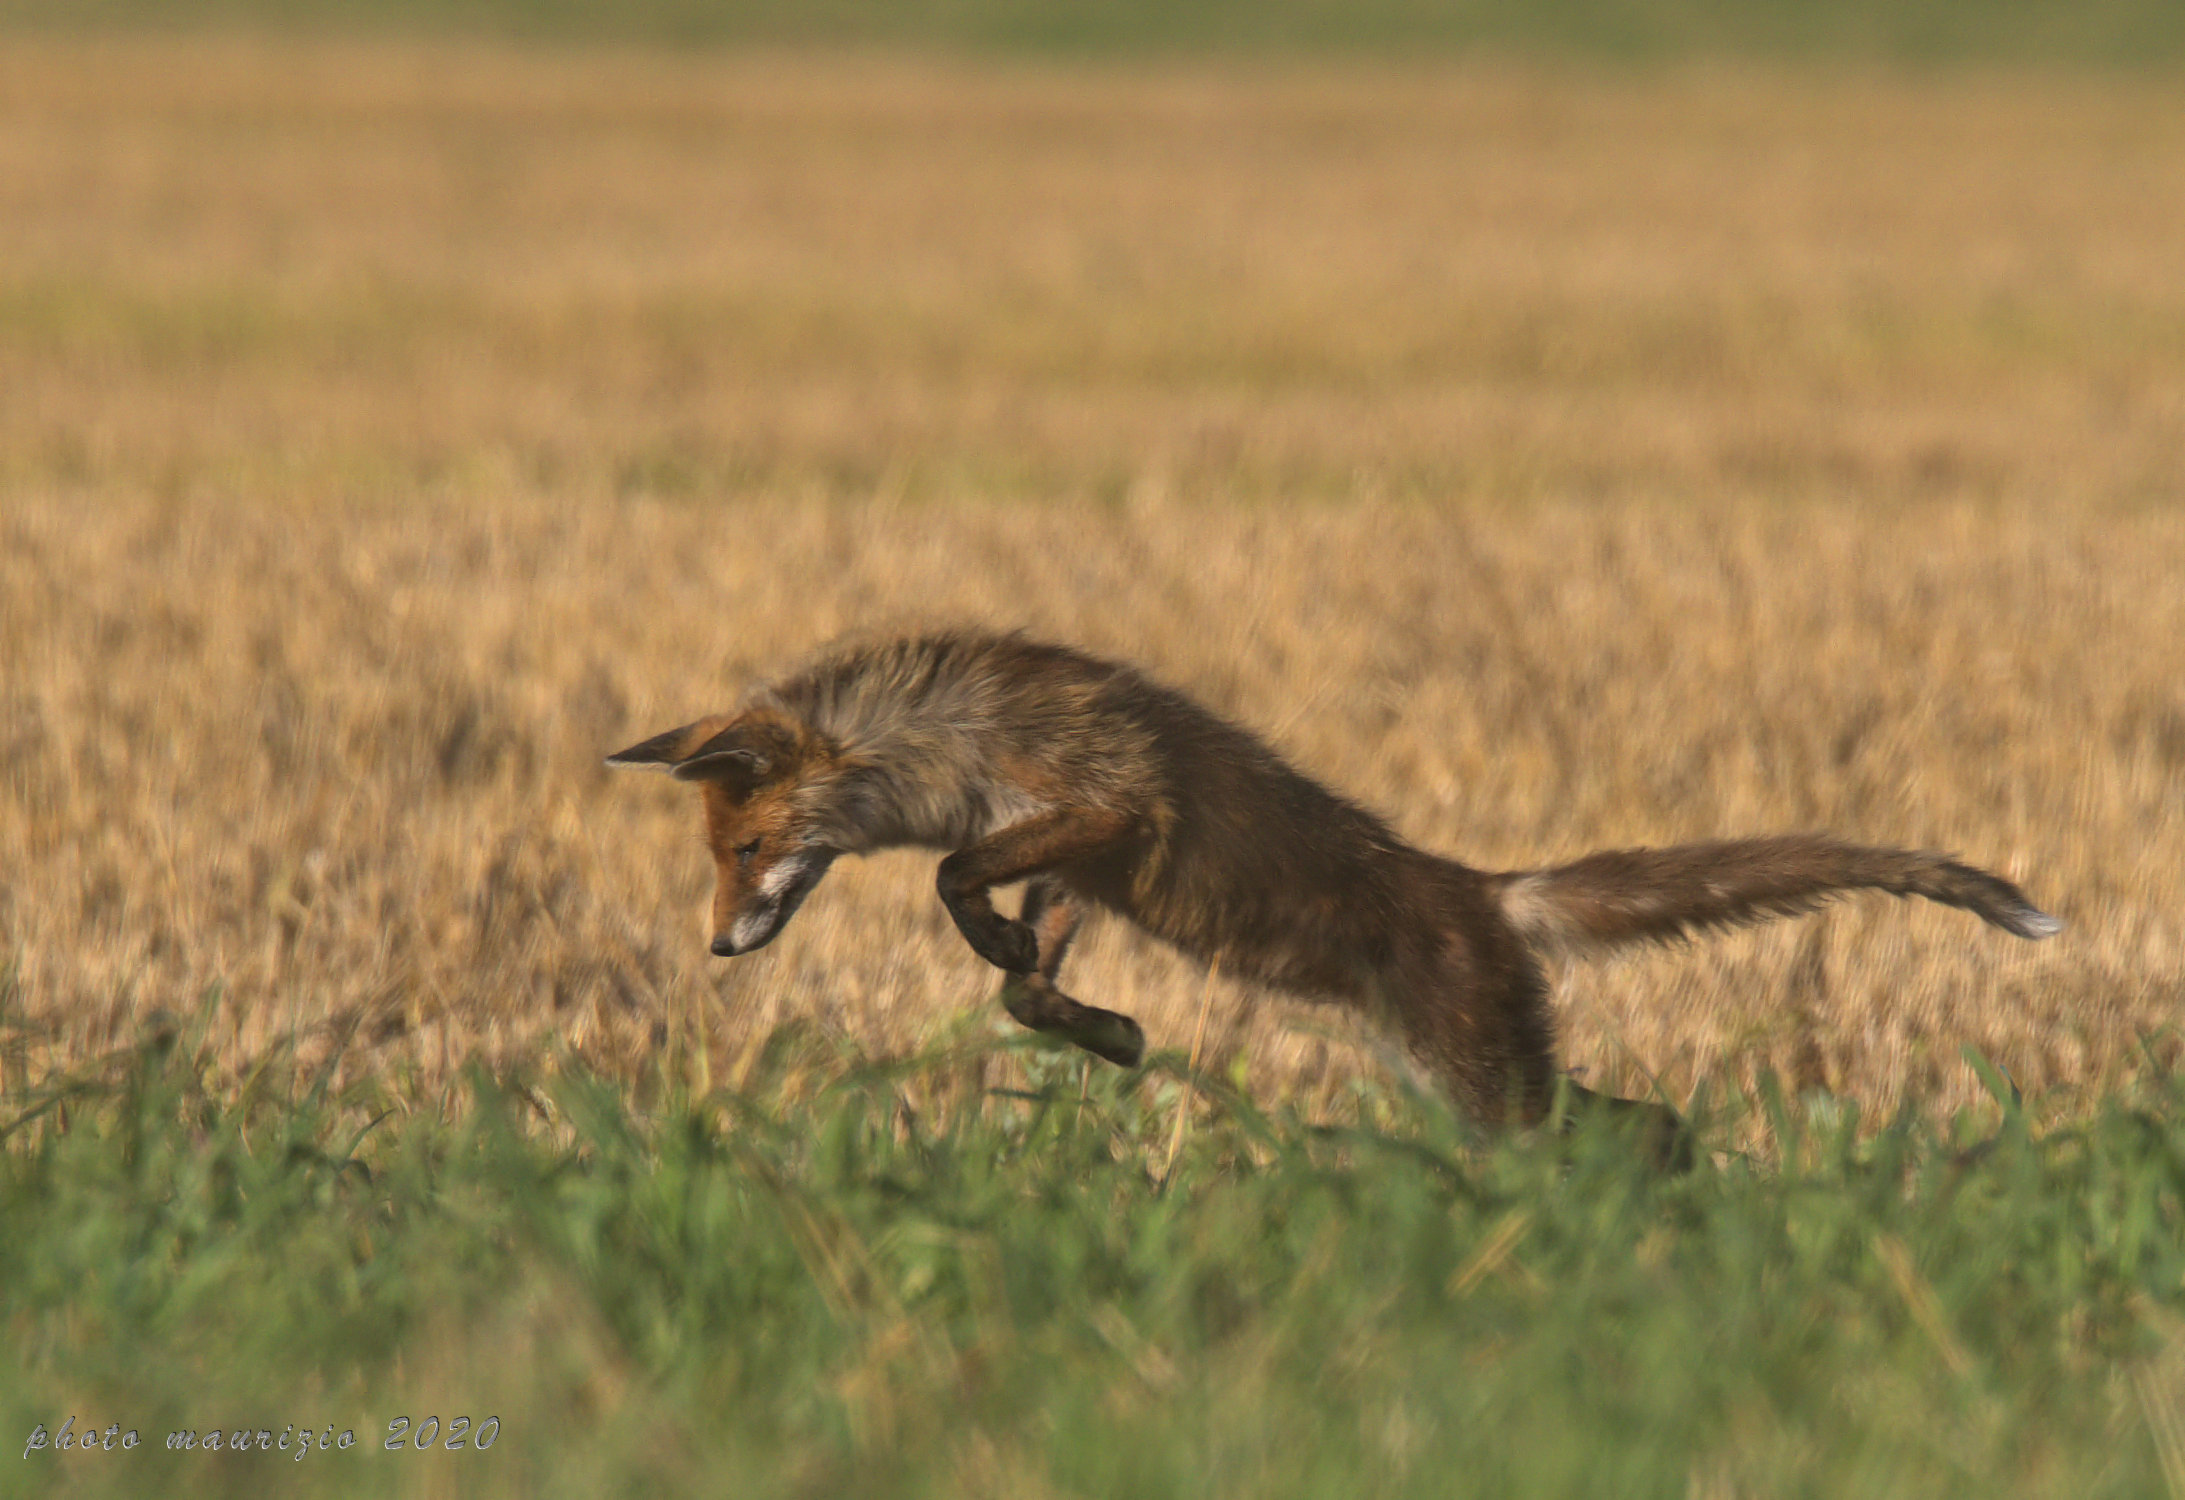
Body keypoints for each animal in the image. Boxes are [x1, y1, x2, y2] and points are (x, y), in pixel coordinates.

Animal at [606, 628, 2060, 1167]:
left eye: (743, 850)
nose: (717, 947)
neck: (951, 746)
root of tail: (1487, 893)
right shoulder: (1075, 862)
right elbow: (1022, 983)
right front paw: (1105, 1033)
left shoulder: (1107, 808)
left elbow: (956, 882)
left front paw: (1038, 976)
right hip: (1465, 1082)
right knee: (1643, 1123)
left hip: (1491, 1089)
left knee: (1635, 1126)